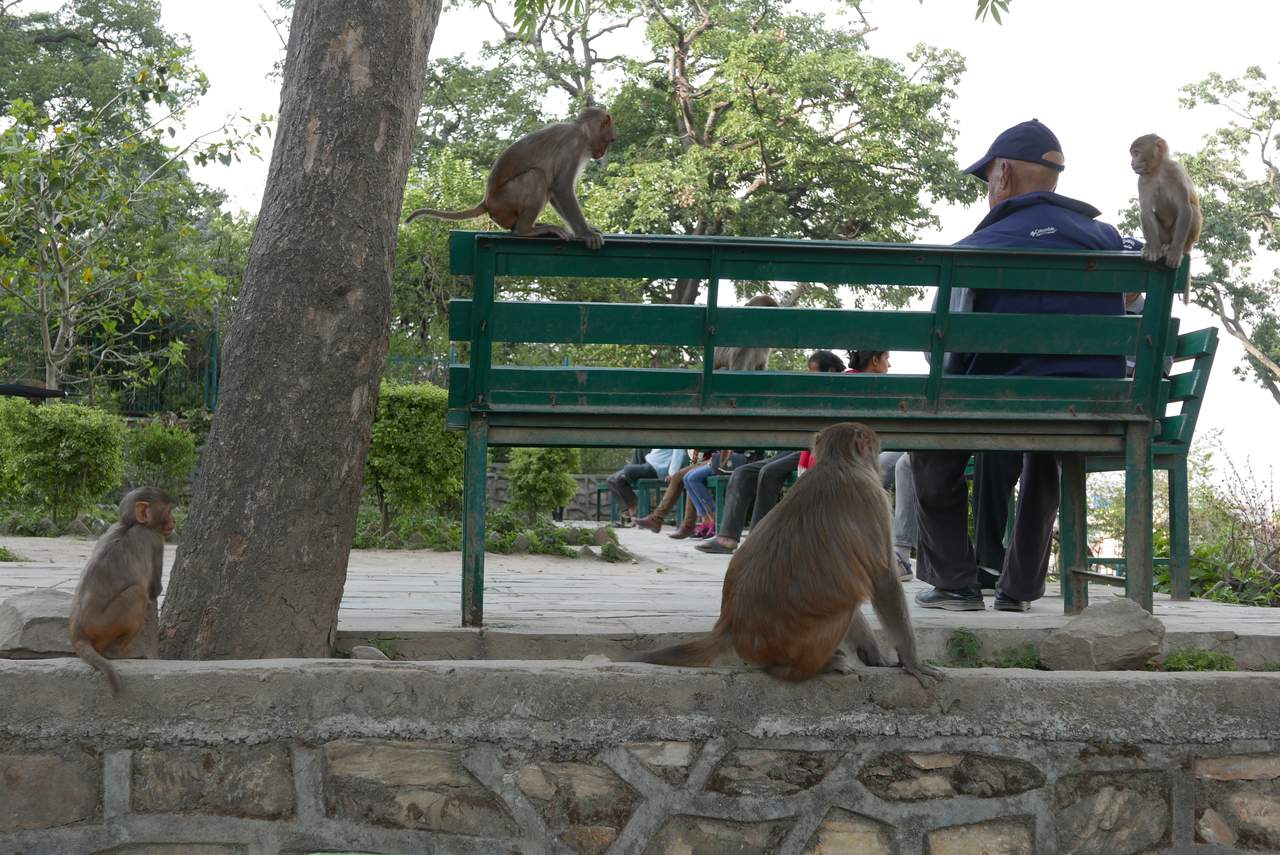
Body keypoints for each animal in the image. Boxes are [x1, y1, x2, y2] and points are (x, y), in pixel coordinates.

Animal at [68, 487, 175, 695]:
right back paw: (116, 653)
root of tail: (77, 633)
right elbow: (154, 590)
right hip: (104, 626)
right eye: (168, 511)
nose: (174, 521)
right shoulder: (155, 539)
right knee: (138, 594)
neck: (129, 524)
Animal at [405, 106, 616, 249]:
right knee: (537, 176)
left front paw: (588, 228)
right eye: (610, 139)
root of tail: (487, 201)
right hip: (505, 202)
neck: (581, 130)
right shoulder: (574, 146)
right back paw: (526, 230)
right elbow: (561, 187)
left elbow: (556, 191)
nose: (603, 152)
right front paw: (586, 233)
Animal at [630, 422, 941, 687]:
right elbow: (883, 581)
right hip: (802, 644)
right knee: (843, 607)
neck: (837, 461)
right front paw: (912, 662)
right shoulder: (874, 498)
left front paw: (873, 654)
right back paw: (812, 667)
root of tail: (730, 626)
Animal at [1131, 134, 1202, 272]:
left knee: (1193, 210)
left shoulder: (1176, 171)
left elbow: (1185, 208)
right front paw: (1154, 249)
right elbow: (1146, 211)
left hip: (1183, 238)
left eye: (1136, 153)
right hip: (1164, 237)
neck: (1158, 170)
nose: (1131, 162)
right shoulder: (1143, 179)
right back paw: (1152, 246)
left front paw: (1175, 253)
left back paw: (1178, 249)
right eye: (1133, 154)